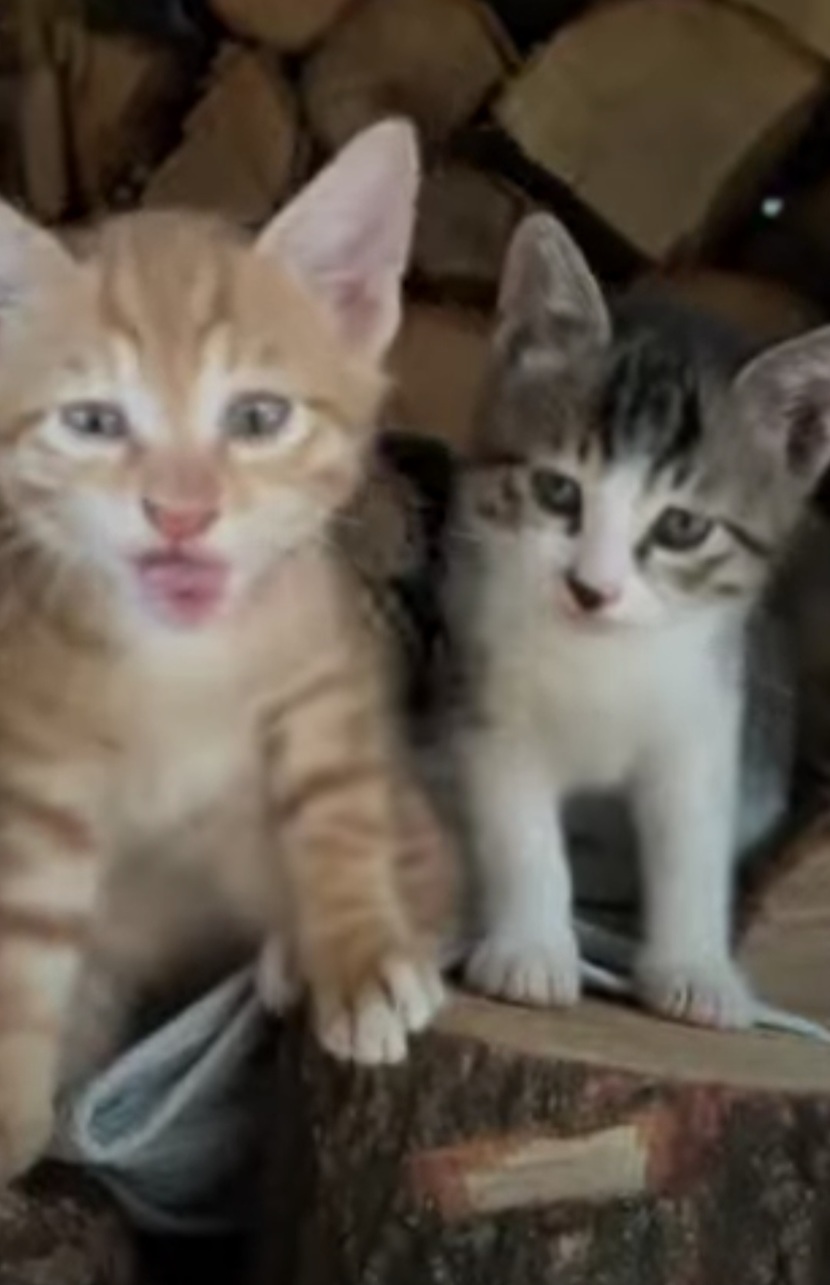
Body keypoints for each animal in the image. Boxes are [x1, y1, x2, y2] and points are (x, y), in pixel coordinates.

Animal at [0, 119, 454, 1183]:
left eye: (258, 417)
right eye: (93, 421)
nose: (182, 512)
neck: (182, 667)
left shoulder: (325, 665)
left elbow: (337, 806)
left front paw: (359, 952)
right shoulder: (35, 747)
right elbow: (21, 927)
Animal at [447, 211, 830, 1030]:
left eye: (682, 526)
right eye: (558, 490)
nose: (593, 589)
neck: (599, 660)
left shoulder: (709, 720)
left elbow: (692, 843)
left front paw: (696, 969)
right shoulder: (488, 701)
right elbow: (521, 831)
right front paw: (531, 950)